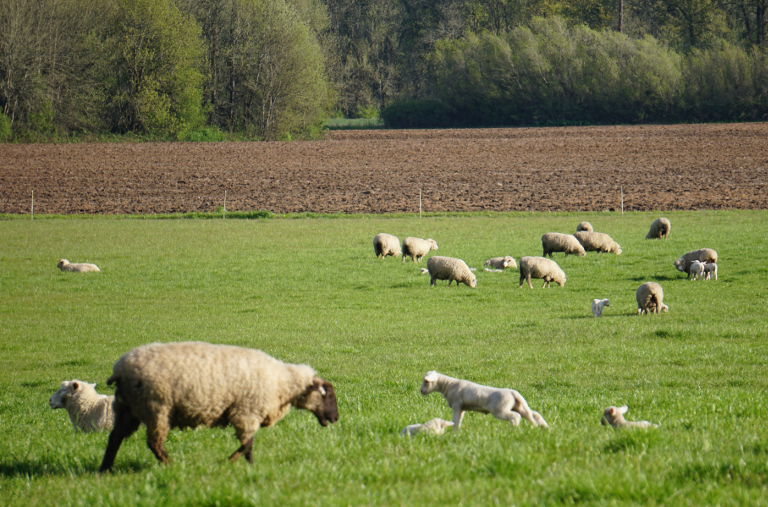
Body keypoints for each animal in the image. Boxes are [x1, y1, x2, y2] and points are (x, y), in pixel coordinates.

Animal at [99, 341, 338, 472]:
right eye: (327, 395)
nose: (336, 418)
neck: (282, 382)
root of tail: (120, 369)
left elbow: (247, 445)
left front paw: (240, 464)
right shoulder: (245, 413)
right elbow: (248, 445)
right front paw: (240, 464)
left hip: (127, 408)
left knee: (115, 438)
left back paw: (105, 470)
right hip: (157, 407)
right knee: (153, 443)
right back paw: (170, 464)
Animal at [420, 371, 548, 430]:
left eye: (426, 381)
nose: (421, 391)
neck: (448, 385)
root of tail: (513, 392)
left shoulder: (457, 405)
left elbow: (455, 420)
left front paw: (454, 432)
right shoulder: (462, 408)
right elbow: (459, 420)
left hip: (500, 410)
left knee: (516, 416)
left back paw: (514, 429)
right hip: (518, 406)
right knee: (534, 414)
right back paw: (545, 427)